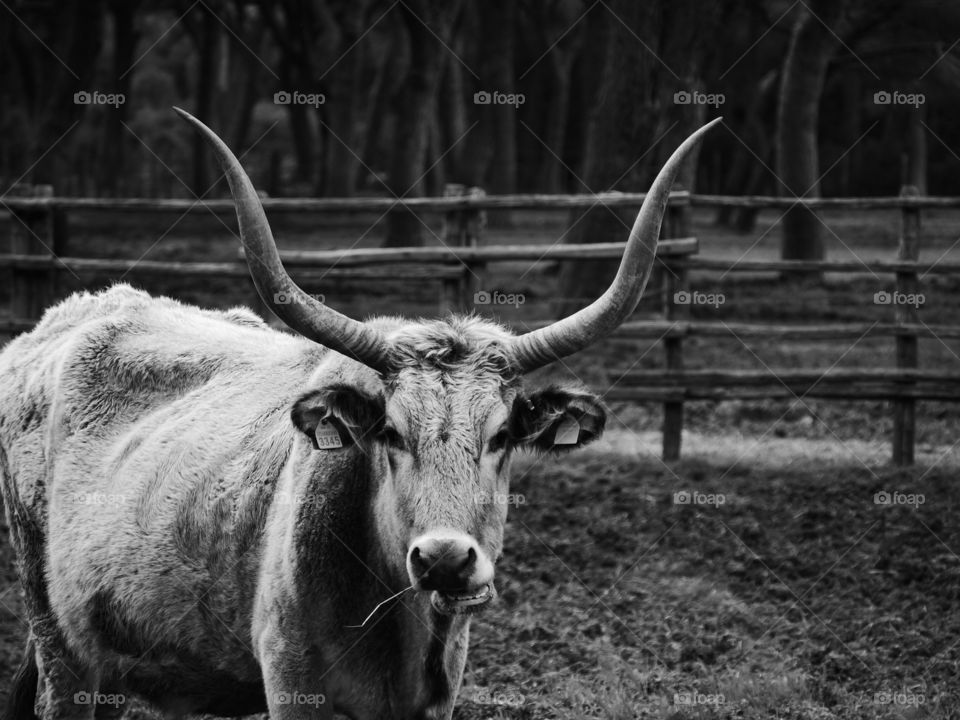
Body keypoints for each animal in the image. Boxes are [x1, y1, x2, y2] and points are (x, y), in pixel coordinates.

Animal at [1, 108, 720, 720]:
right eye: (392, 434)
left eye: (502, 436)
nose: (445, 559)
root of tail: (57, 322)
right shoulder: (293, 687)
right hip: (60, 647)